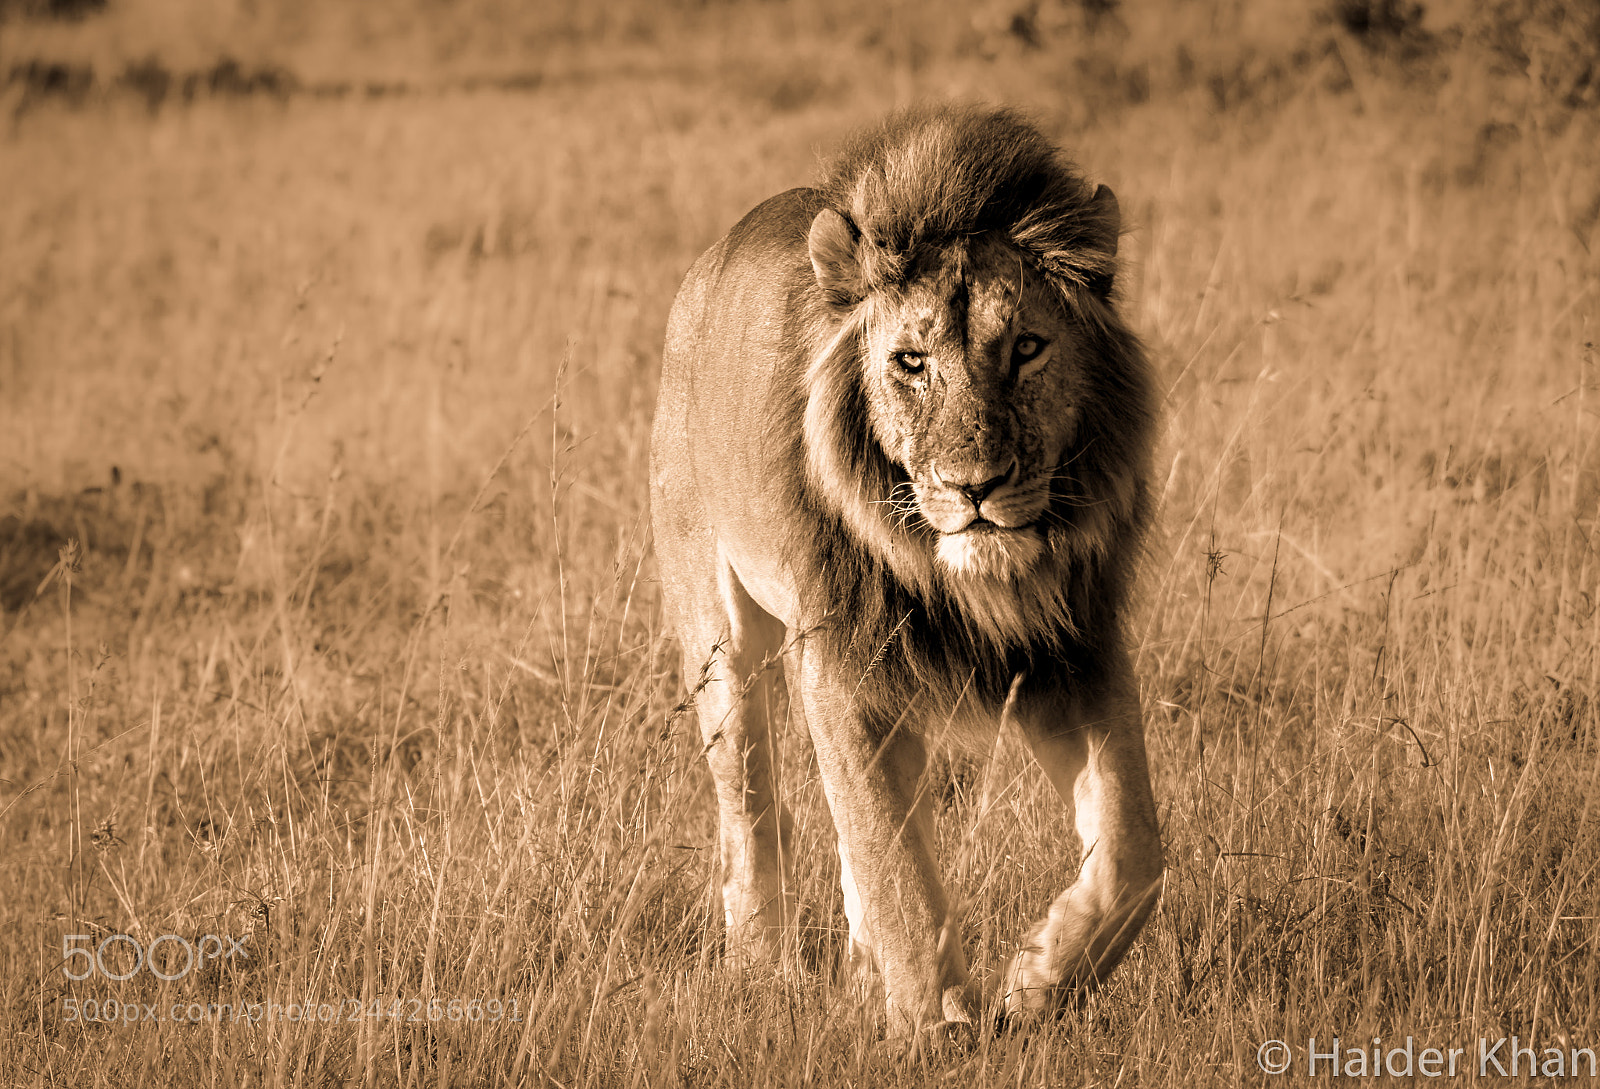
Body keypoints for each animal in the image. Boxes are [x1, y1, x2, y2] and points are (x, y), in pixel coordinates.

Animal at [650, 103, 1163, 1041]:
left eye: (1027, 348)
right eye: (911, 362)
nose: (974, 486)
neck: (970, 581)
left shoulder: (1078, 644)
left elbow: (1135, 845)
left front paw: (1040, 978)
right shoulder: (842, 663)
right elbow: (896, 865)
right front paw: (939, 1024)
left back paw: (862, 977)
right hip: (718, 633)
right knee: (751, 805)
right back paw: (764, 968)